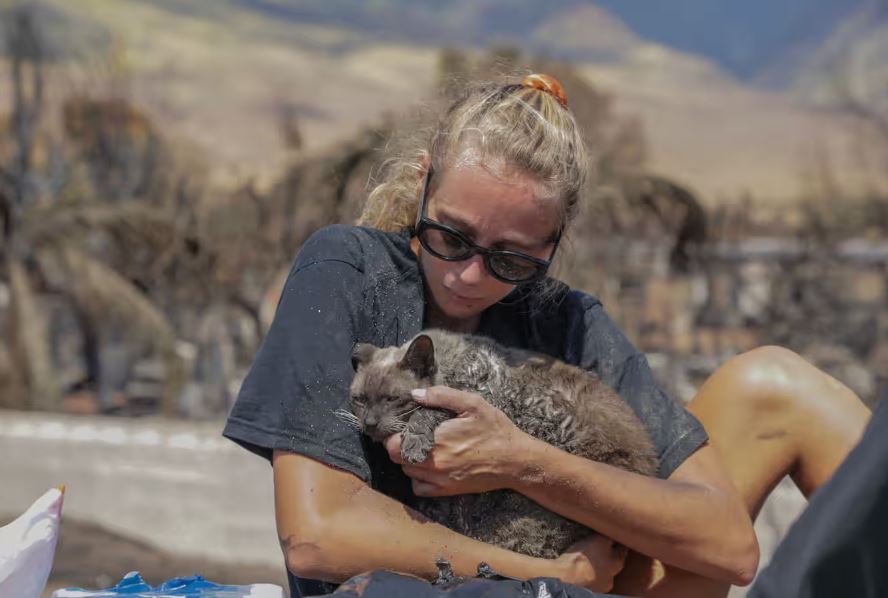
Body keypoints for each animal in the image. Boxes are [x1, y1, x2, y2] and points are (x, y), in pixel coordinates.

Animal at [344, 330, 656, 560]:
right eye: (359, 400)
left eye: (392, 399)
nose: (370, 424)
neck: (452, 364)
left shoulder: (478, 397)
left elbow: (429, 410)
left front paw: (414, 442)